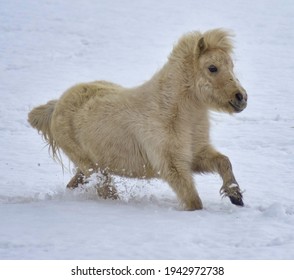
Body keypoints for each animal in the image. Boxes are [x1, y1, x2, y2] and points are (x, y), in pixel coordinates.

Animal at [28, 28, 247, 210]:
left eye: (231, 65)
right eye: (212, 67)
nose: (241, 98)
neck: (175, 114)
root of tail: (57, 105)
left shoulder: (195, 156)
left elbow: (224, 162)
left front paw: (236, 196)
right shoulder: (173, 166)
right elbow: (194, 202)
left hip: (91, 166)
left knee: (74, 183)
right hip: (92, 167)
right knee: (105, 190)